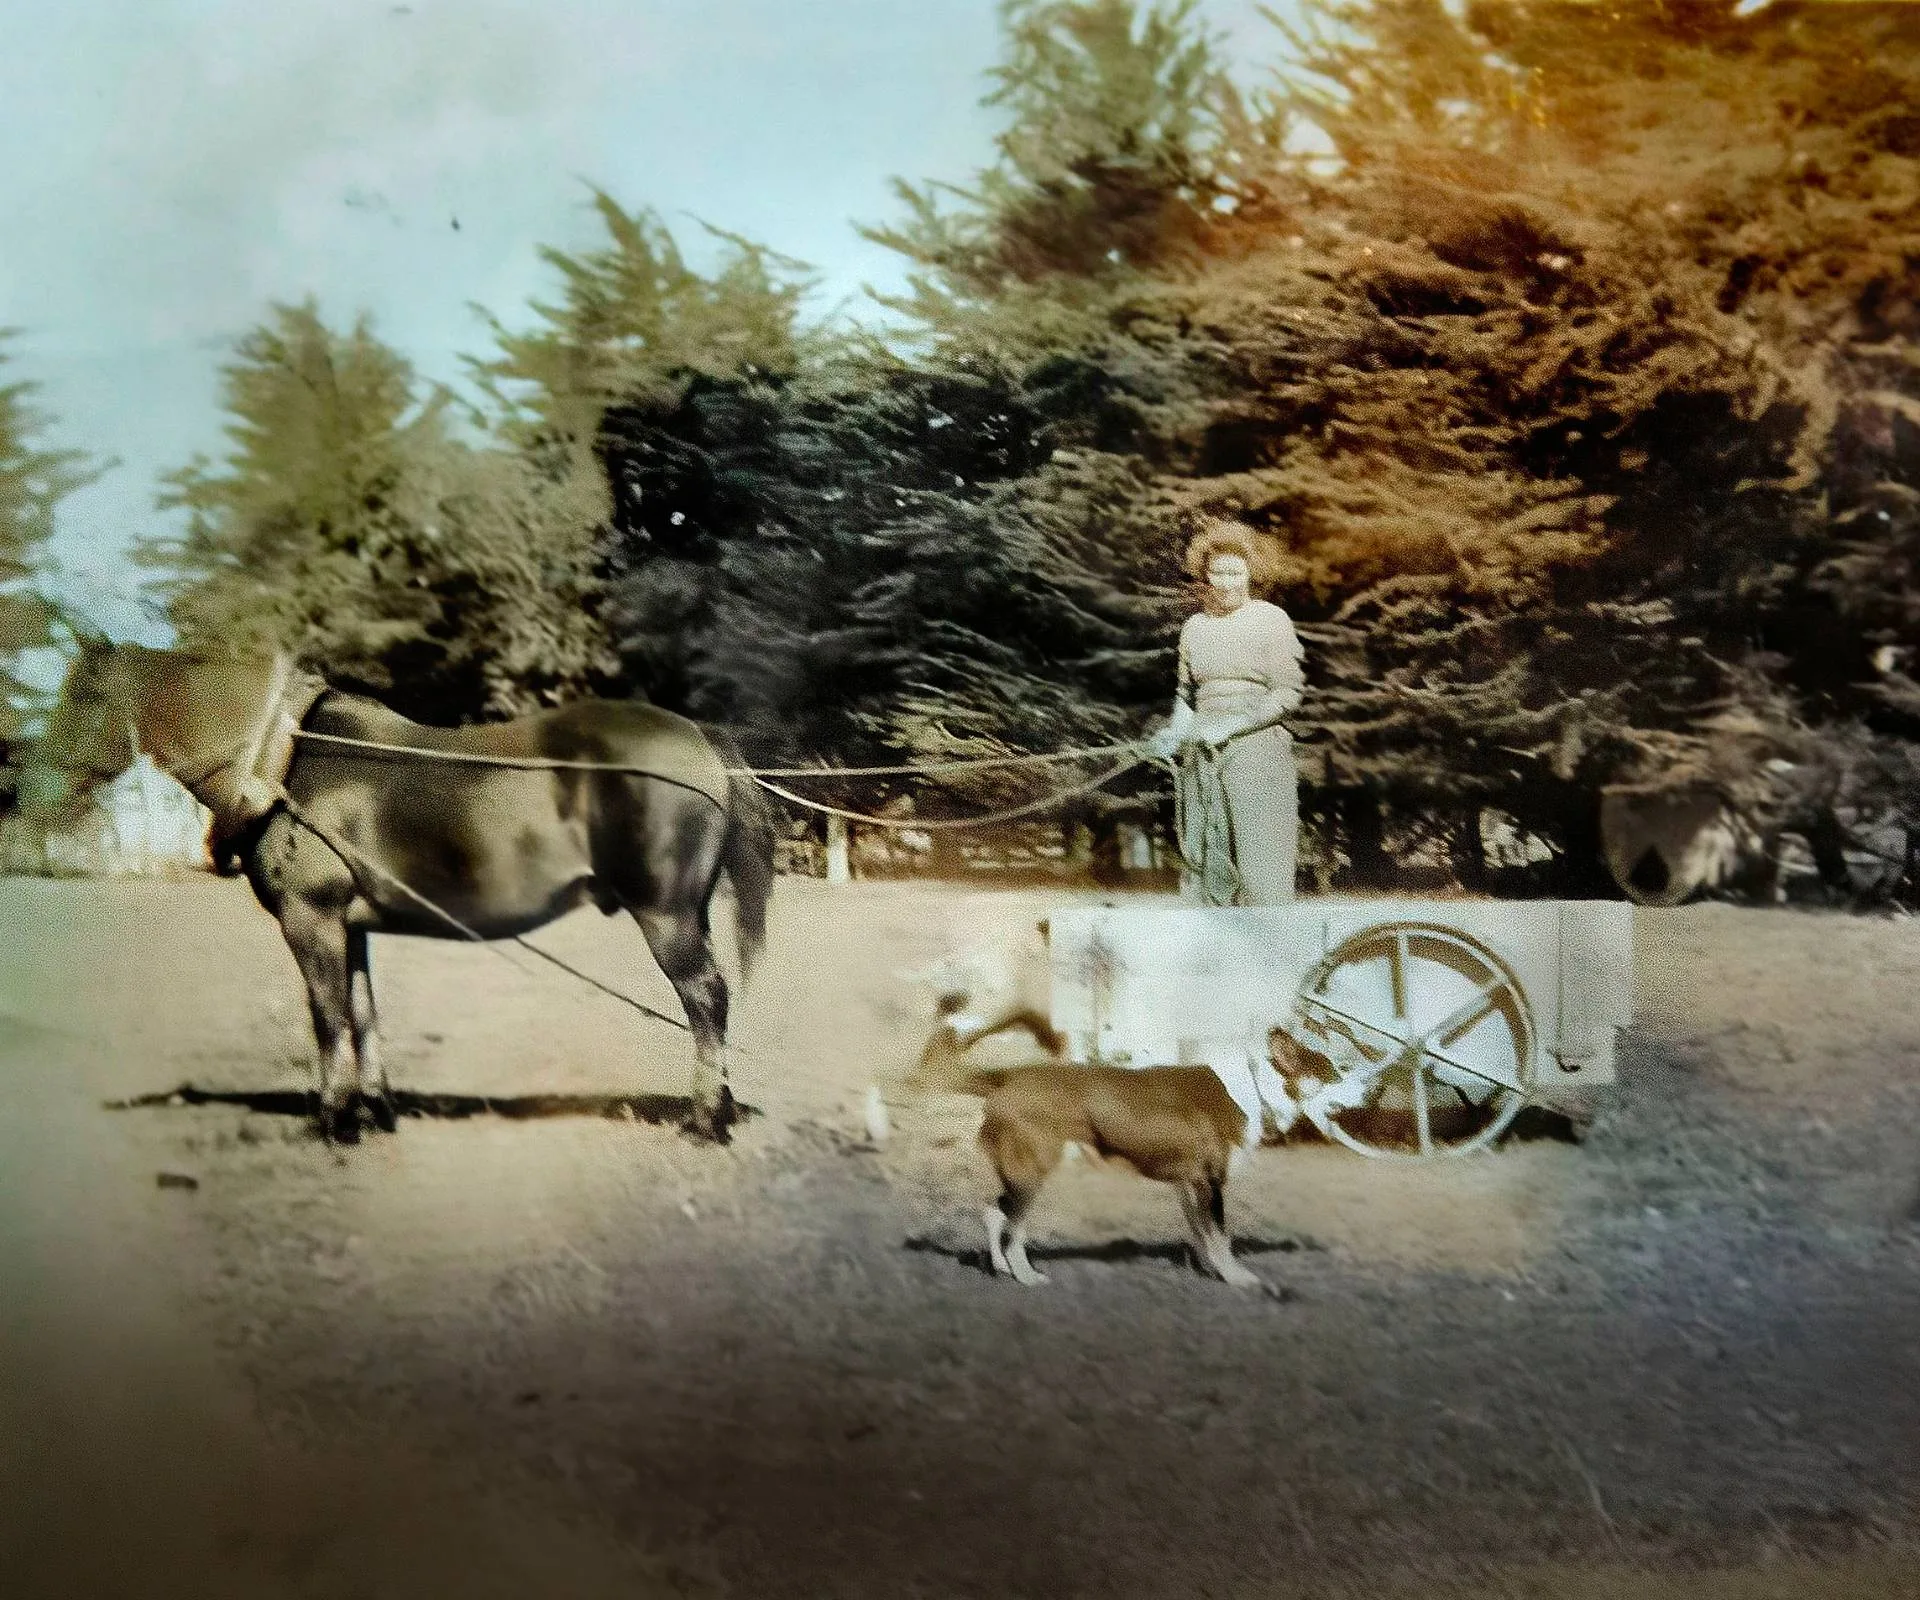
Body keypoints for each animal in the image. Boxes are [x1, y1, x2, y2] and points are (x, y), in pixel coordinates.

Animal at [42, 640, 777, 1145]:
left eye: (81, 699)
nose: (36, 786)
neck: (286, 761)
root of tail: (699, 739)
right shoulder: (351, 926)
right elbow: (364, 1014)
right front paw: (376, 1111)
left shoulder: (311, 920)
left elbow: (328, 1017)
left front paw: (334, 1121)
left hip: (666, 917)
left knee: (706, 1001)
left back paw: (705, 1121)